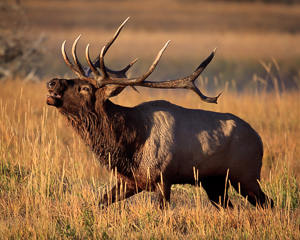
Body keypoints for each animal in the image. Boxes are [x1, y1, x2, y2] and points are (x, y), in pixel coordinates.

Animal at [45, 18, 274, 208]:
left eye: (85, 88)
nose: (52, 82)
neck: (128, 145)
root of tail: (259, 139)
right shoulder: (131, 181)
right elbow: (100, 203)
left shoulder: (163, 178)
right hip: (214, 182)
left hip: (246, 175)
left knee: (268, 202)